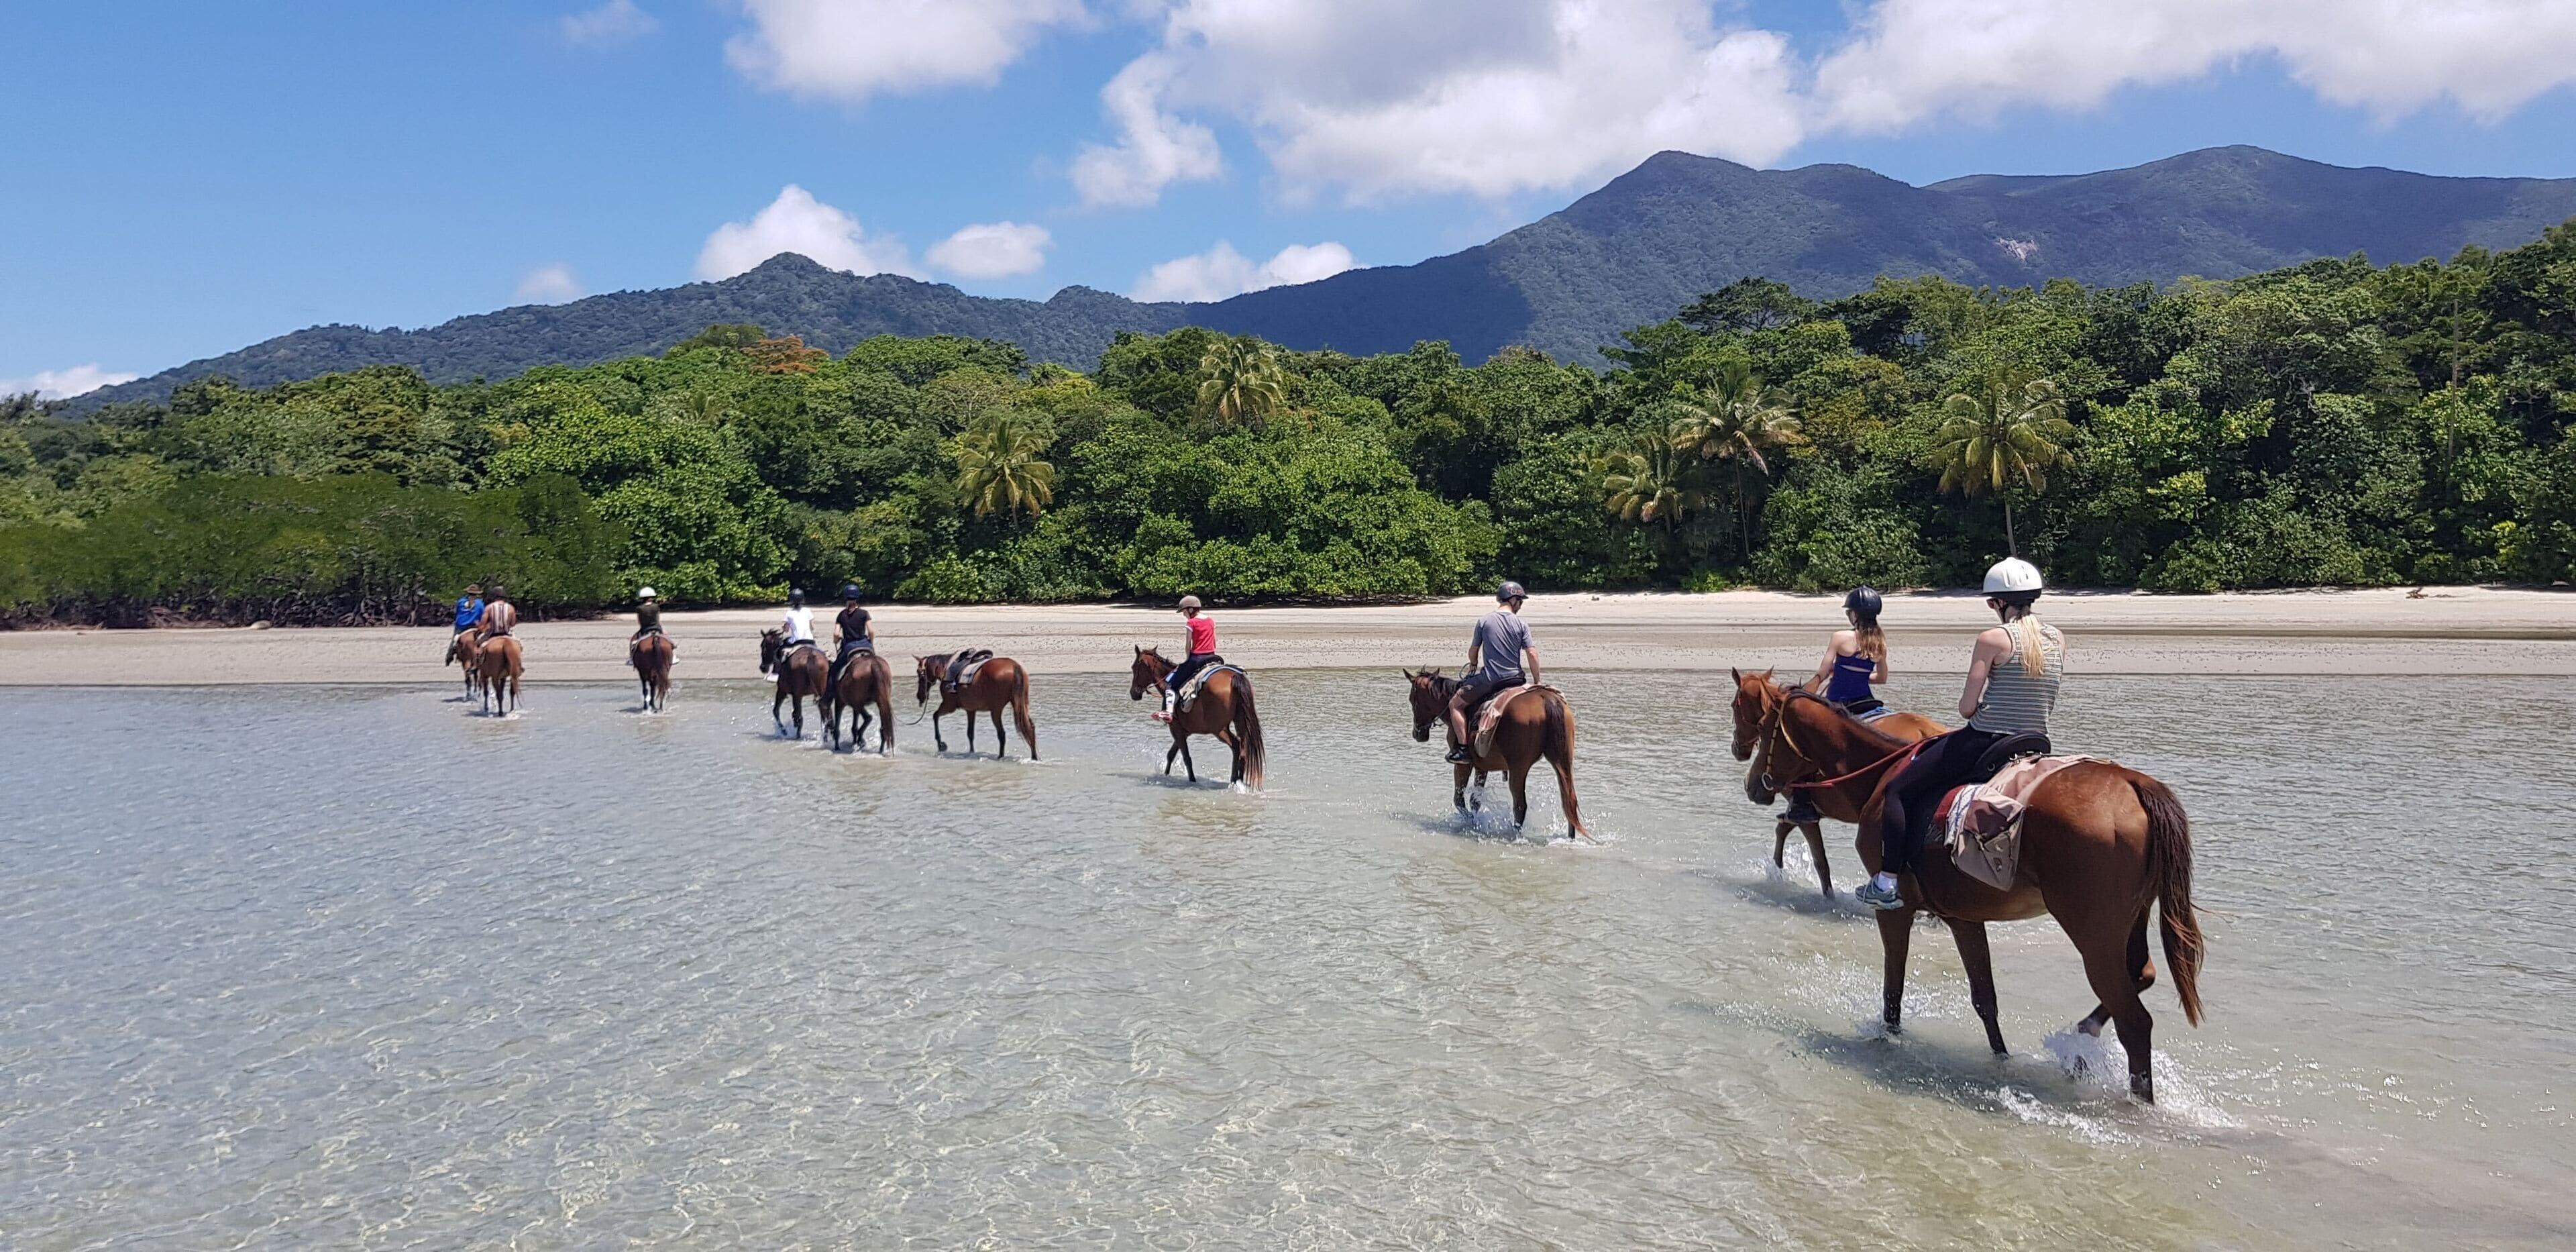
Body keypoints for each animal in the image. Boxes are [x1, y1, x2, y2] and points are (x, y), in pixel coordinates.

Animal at [760, 629, 827, 739]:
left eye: (763, 646)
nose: (763, 667)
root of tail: (810, 656)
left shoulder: (782, 691)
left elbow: (776, 711)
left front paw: (784, 731)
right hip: (820, 692)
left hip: (797, 695)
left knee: (798, 715)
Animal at [821, 648, 895, 754]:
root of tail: (874, 664)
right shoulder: (853, 706)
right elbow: (854, 725)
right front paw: (854, 742)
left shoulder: (840, 702)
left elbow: (838, 727)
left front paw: (837, 747)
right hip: (881, 702)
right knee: (882, 725)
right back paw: (879, 749)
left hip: (858, 704)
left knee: (868, 718)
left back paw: (861, 741)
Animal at [912, 652, 1038, 760]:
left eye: (919, 672)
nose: (919, 696)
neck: (946, 669)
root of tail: (1015, 666)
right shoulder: (971, 710)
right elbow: (970, 733)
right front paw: (972, 752)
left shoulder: (949, 705)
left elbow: (935, 716)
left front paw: (940, 744)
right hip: (1022, 704)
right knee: (1030, 727)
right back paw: (1034, 756)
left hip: (996, 711)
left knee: (1002, 733)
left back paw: (1001, 757)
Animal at [1129, 646, 1266, 789]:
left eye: (1134, 667)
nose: (1134, 693)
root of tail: (1235, 677)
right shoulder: (1184, 731)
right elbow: (1171, 754)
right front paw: (1166, 776)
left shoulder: (1176, 729)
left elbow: (1186, 758)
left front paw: (1192, 780)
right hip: (1240, 722)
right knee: (1243, 750)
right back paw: (1239, 781)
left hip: (1218, 729)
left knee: (1236, 745)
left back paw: (1234, 780)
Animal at [1402, 669, 1593, 842]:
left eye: (1412, 700)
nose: (1418, 733)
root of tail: (1546, 699)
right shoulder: (1482, 766)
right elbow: (1475, 800)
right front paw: (1475, 822)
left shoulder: (1464, 765)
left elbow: (1459, 800)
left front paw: (1469, 821)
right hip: (1563, 761)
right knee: (1569, 799)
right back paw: (1571, 838)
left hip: (1518, 767)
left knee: (1520, 806)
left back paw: (1514, 835)